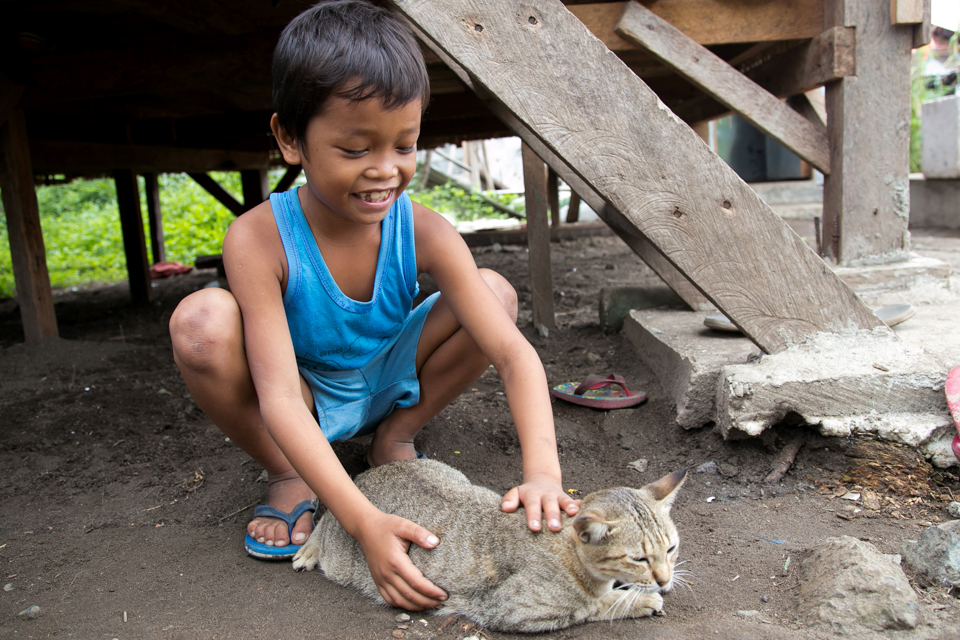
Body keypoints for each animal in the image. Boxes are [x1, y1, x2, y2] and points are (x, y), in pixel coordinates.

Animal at [288, 458, 688, 632]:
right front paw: (640, 599)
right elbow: (591, 606)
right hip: (343, 555)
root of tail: (369, 474)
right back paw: (307, 547)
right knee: (329, 514)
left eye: (671, 550)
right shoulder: (516, 610)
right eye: (639, 558)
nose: (665, 578)